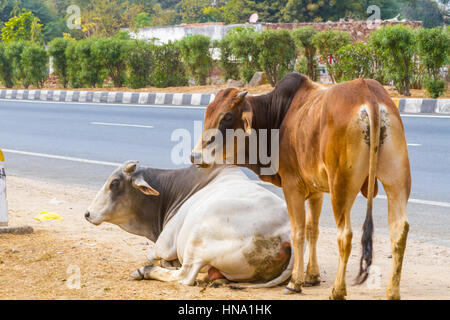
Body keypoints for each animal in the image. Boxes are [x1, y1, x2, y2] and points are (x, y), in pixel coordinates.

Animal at [85, 161, 294, 288]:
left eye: (114, 183)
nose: (87, 214)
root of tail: (286, 232)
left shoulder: (164, 245)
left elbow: (156, 256)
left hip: (198, 236)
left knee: (184, 276)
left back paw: (145, 271)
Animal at [191, 73, 412, 300]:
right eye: (208, 113)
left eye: (226, 116)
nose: (196, 156)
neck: (278, 116)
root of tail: (369, 94)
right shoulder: (316, 190)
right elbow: (312, 229)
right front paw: (312, 276)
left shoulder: (292, 186)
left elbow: (298, 231)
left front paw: (295, 282)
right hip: (397, 181)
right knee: (399, 230)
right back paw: (392, 292)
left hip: (341, 187)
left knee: (345, 235)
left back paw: (338, 290)